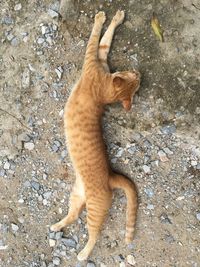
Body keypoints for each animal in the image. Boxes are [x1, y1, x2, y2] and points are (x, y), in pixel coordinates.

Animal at [50, 10, 140, 262]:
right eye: (134, 77)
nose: (139, 72)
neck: (104, 92)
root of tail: (111, 175)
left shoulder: (91, 56)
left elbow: (96, 36)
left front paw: (103, 18)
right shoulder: (99, 56)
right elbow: (104, 40)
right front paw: (114, 18)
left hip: (95, 208)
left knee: (94, 233)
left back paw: (83, 253)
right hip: (75, 196)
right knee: (72, 215)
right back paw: (57, 225)